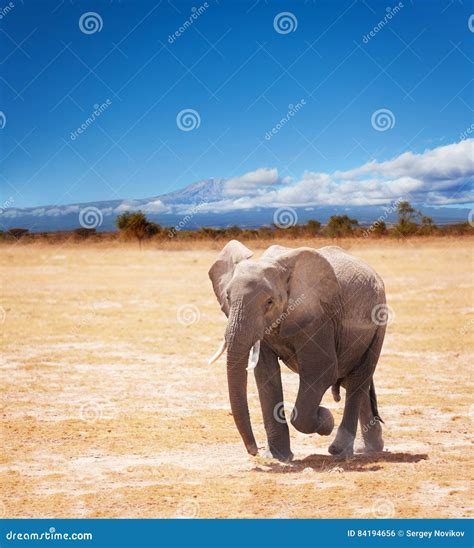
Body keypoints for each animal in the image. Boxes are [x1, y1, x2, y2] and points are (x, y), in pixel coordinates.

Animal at [207, 242, 386, 460]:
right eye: (227, 297)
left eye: (269, 302)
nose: (253, 451)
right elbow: (266, 374)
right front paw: (277, 457)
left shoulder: (317, 317)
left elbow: (321, 371)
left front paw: (326, 419)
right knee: (353, 382)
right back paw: (370, 449)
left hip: (378, 324)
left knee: (358, 380)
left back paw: (340, 451)